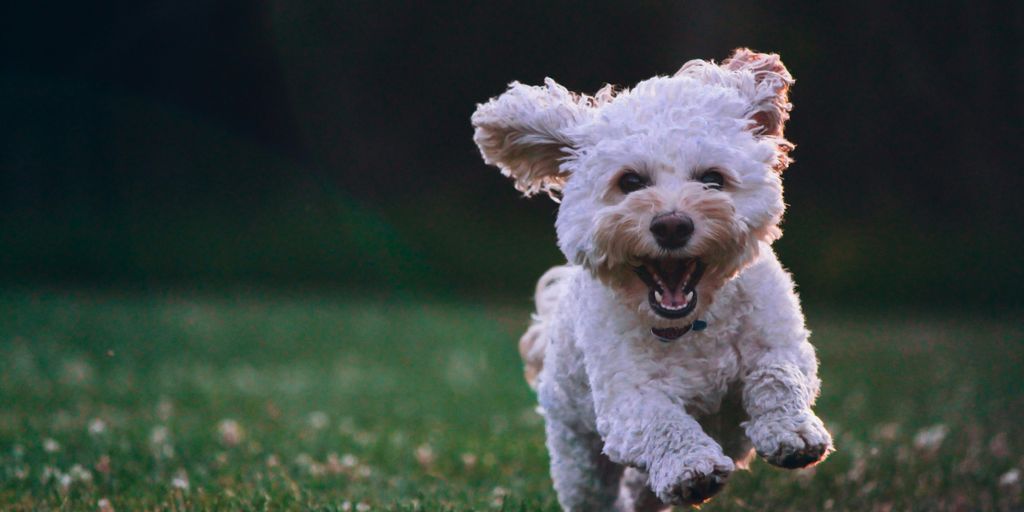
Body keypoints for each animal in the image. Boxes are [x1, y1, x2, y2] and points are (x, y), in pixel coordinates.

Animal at [471, 48, 831, 512]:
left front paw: (793, 433)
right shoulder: (627, 399)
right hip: (578, 454)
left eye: (712, 179)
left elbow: (779, 376)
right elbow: (662, 422)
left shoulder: (780, 342)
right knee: (594, 489)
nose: (672, 225)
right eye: (630, 181)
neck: (692, 325)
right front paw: (691, 467)